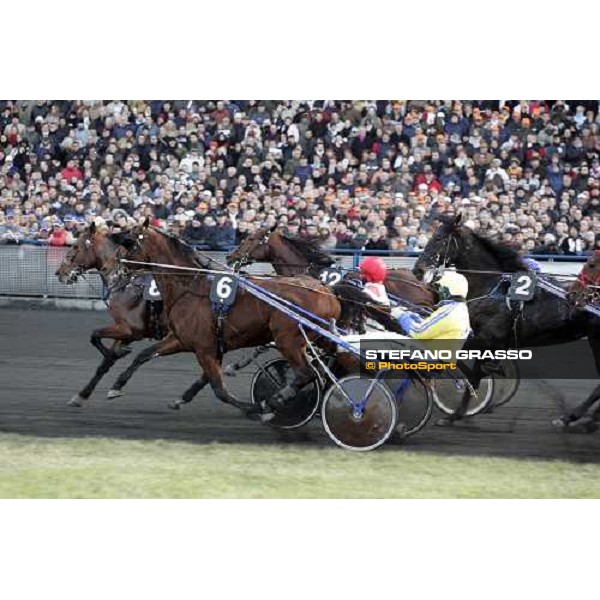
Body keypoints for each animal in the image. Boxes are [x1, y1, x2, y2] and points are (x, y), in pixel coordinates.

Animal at [55, 221, 170, 408]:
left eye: (75, 246)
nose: (60, 273)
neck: (125, 281)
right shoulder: (125, 332)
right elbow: (104, 363)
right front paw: (81, 395)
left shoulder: (129, 329)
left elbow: (95, 335)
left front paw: (119, 355)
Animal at [110, 218, 358, 420]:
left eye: (130, 241)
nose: (115, 266)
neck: (190, 287)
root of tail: (326, 290)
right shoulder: (183, 340)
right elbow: (144, 354)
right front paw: (116, 386)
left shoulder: (204, 348)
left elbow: (220, 390)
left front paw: (258, 408)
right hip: (319, 338)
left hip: (288, 340)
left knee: (306, 373)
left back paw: (277, 400)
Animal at [412, 213, 600, 428]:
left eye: (439, 238)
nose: (417, 270)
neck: (494, 289)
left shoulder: (488, 339)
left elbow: (473, 372)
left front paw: (455, 414)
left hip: (596, 340)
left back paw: (572, 417)